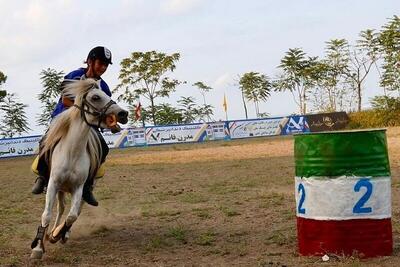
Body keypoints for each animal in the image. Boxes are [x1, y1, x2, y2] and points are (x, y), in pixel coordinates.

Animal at [31, 79, 128, 260]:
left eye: (106, 94)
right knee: (60, 208)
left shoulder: (79, 187)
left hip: (85, 189)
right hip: (60, 188)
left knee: (74, 210)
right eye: (96, 97)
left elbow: (72, 216)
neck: (72, 151)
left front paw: (57, 234)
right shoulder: (53, 184)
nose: (123, 114)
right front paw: (38, 248)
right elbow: (46, 215)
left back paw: (61, 233)